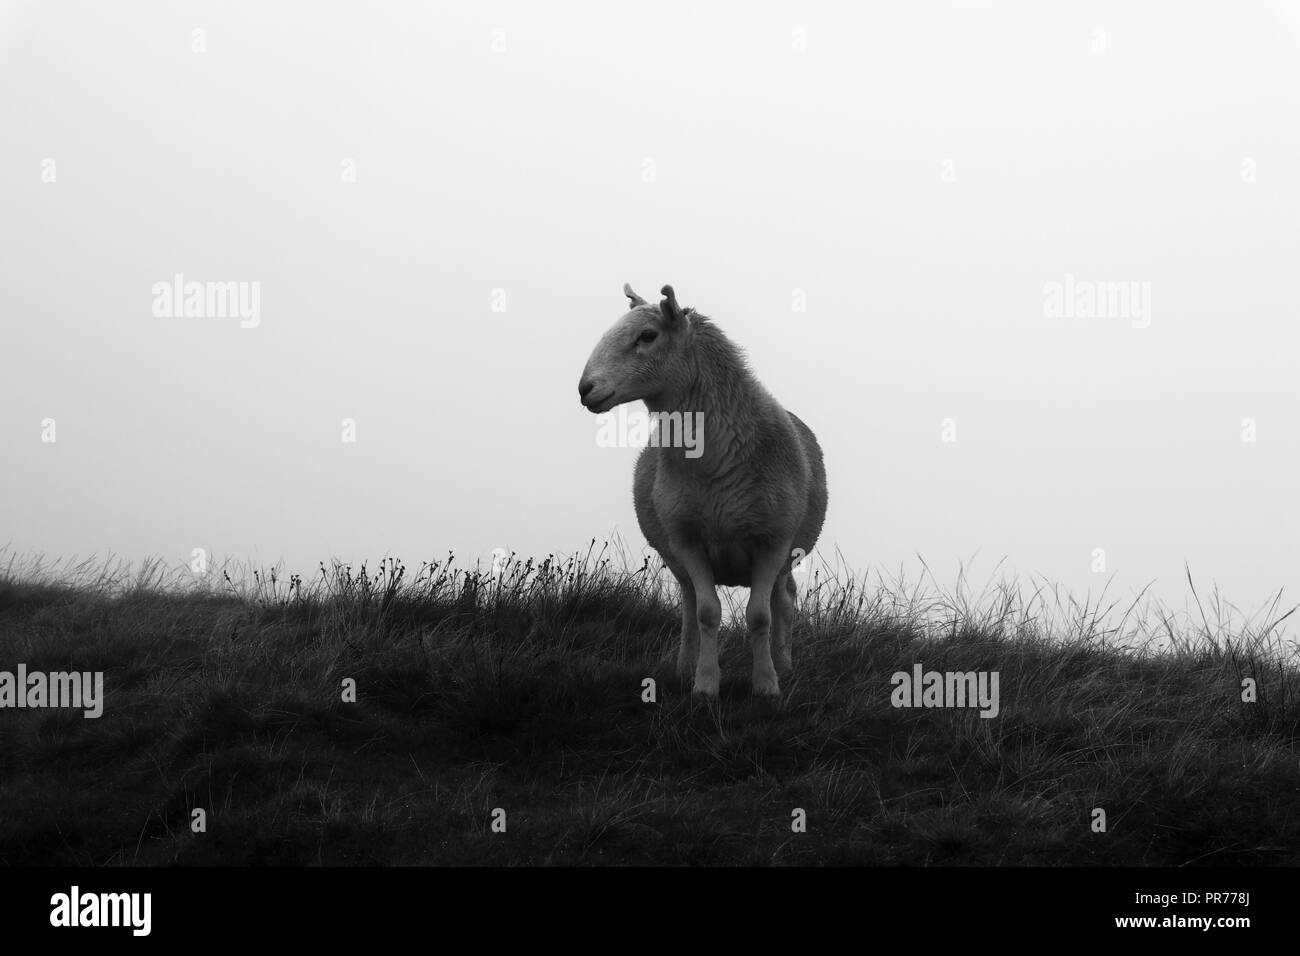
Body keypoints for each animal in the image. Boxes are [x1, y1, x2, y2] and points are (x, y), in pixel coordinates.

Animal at [582, 282, 826, 697]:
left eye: (648, 336)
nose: (585, 388)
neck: (715, 463)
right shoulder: (688, 540)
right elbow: (707, 613)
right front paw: (705, 684)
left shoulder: (771, 542)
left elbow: (760, 616)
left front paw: (766, 685)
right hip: (676, 557)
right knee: (689, 603)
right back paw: (685, 666)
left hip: (787, 551)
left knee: (784, 601)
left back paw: (784, 664)